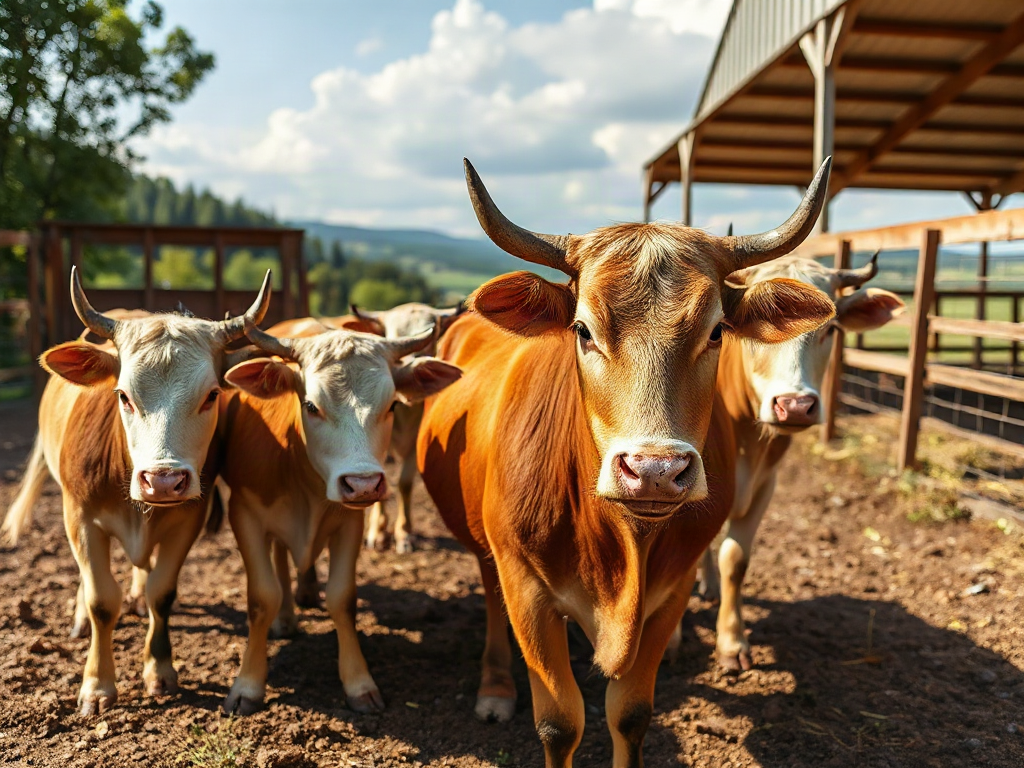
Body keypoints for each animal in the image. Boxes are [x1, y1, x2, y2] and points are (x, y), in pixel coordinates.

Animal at [2, 269, 271, 715]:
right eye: (123, 395)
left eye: (212, 395)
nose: (161, 480)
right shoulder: (80, 517)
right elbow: (101, 601)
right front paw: (97, 684)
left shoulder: (186, 520)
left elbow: (160, 593)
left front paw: (159, 669)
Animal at [216, 319, 462, 715]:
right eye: (311, 405)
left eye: (391, 405)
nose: (363, 484)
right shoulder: (244, 514)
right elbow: (262, 597)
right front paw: (248, 684)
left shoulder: (350, 523)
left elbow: (342, 598)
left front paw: (359, 683)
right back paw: (286, 617)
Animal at [415, 158, 836, 767]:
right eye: (582, 329)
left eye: (717, 331)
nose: (654, 471)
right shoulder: (527, 588)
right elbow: (560, 722)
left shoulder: (671, 593)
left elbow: (631, 714)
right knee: (492, 598)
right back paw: (495, 686)